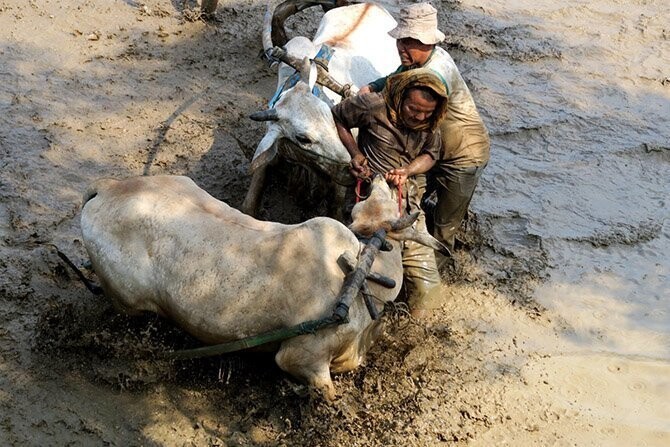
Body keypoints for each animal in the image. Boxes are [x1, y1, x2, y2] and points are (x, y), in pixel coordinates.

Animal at [80, 175, 446, 400]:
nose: (384, 177)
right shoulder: (302, 359)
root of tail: (107, 187)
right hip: (128, 302)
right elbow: (324, 393)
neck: (357, 276)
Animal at [242, 1, 400, 218]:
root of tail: (371, 5)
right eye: (303, 139)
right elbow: (249, 204)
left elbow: (335, 207)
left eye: (330, 115)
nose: (351, 168)